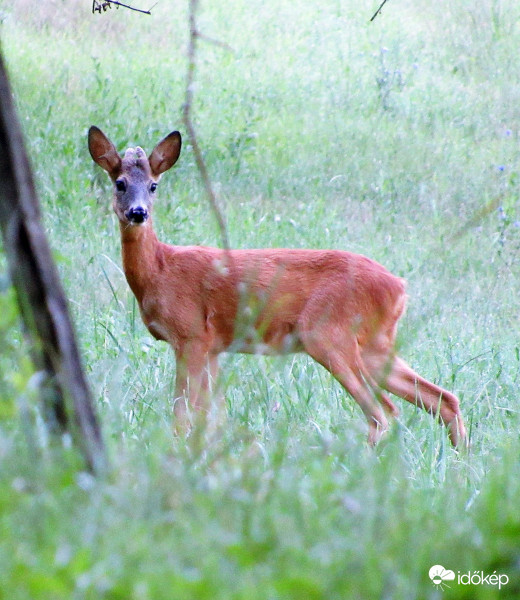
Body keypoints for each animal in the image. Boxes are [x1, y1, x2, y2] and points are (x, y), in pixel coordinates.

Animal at [87, 125, 466, 446]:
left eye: (154, 185)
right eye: (119, 183)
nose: (138, 213)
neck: (160, 270)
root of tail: (399, 287)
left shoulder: (191, 334)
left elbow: (183, 415)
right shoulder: (213, 346)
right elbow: (211, 417)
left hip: (329, 334)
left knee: (384, 412)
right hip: (375, 343)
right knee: (443, 398)